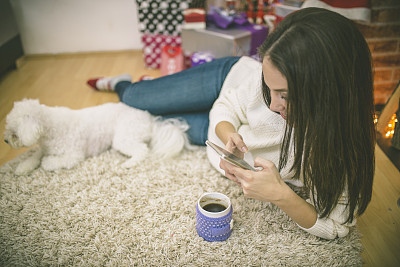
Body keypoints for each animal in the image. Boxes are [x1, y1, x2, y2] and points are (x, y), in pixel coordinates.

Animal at [3, 99, 191, 175]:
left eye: (14, 133)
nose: (5, 140)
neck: (50, 128)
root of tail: (150, 119)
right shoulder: (43, 148)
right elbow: (34, 157)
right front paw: (23, 167)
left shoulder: (73, 155)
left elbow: (48, 162)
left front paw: (47, 162)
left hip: (122, 138)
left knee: (142, 151)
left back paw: (129, 163)